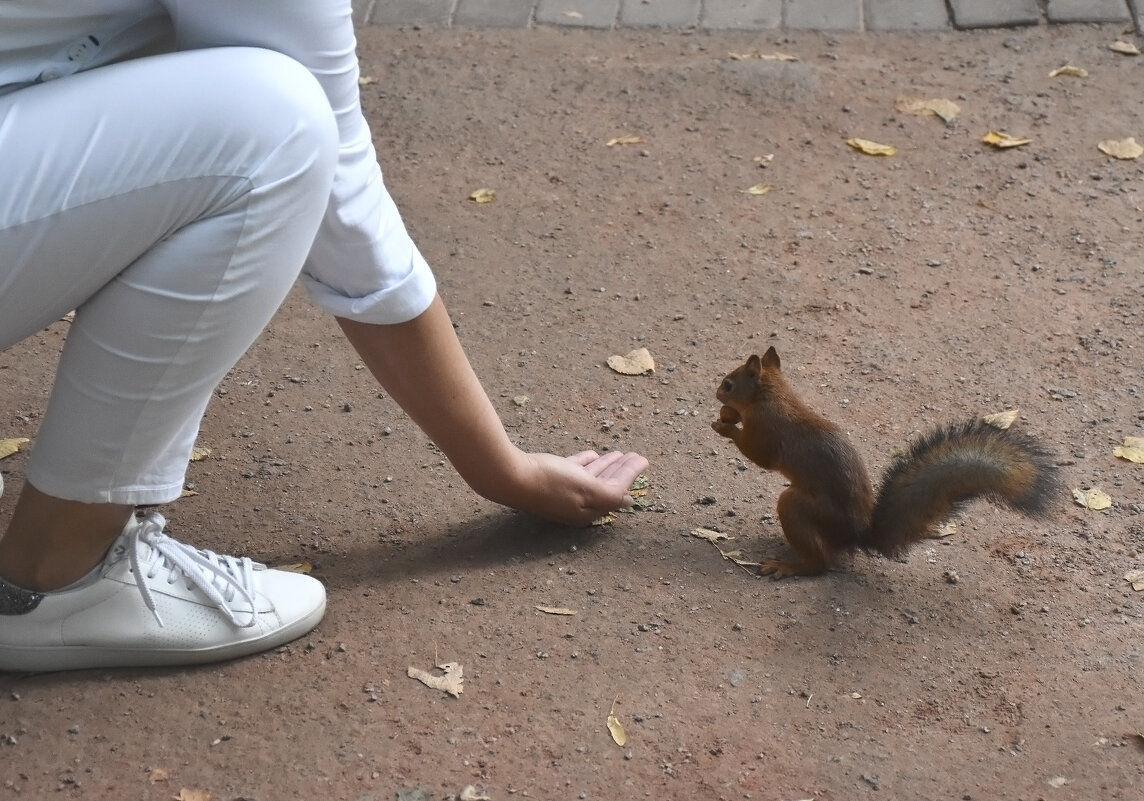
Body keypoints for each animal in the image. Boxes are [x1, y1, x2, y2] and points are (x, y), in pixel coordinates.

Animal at [709, 347, 1057, 579]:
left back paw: (788, 566)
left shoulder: (767, 431)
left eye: (728, 384)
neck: (774, 396)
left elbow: (759, 456)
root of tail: (855, 534)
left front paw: (725, 426)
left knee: (821, 563)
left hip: (798, 506)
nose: (716, 394)